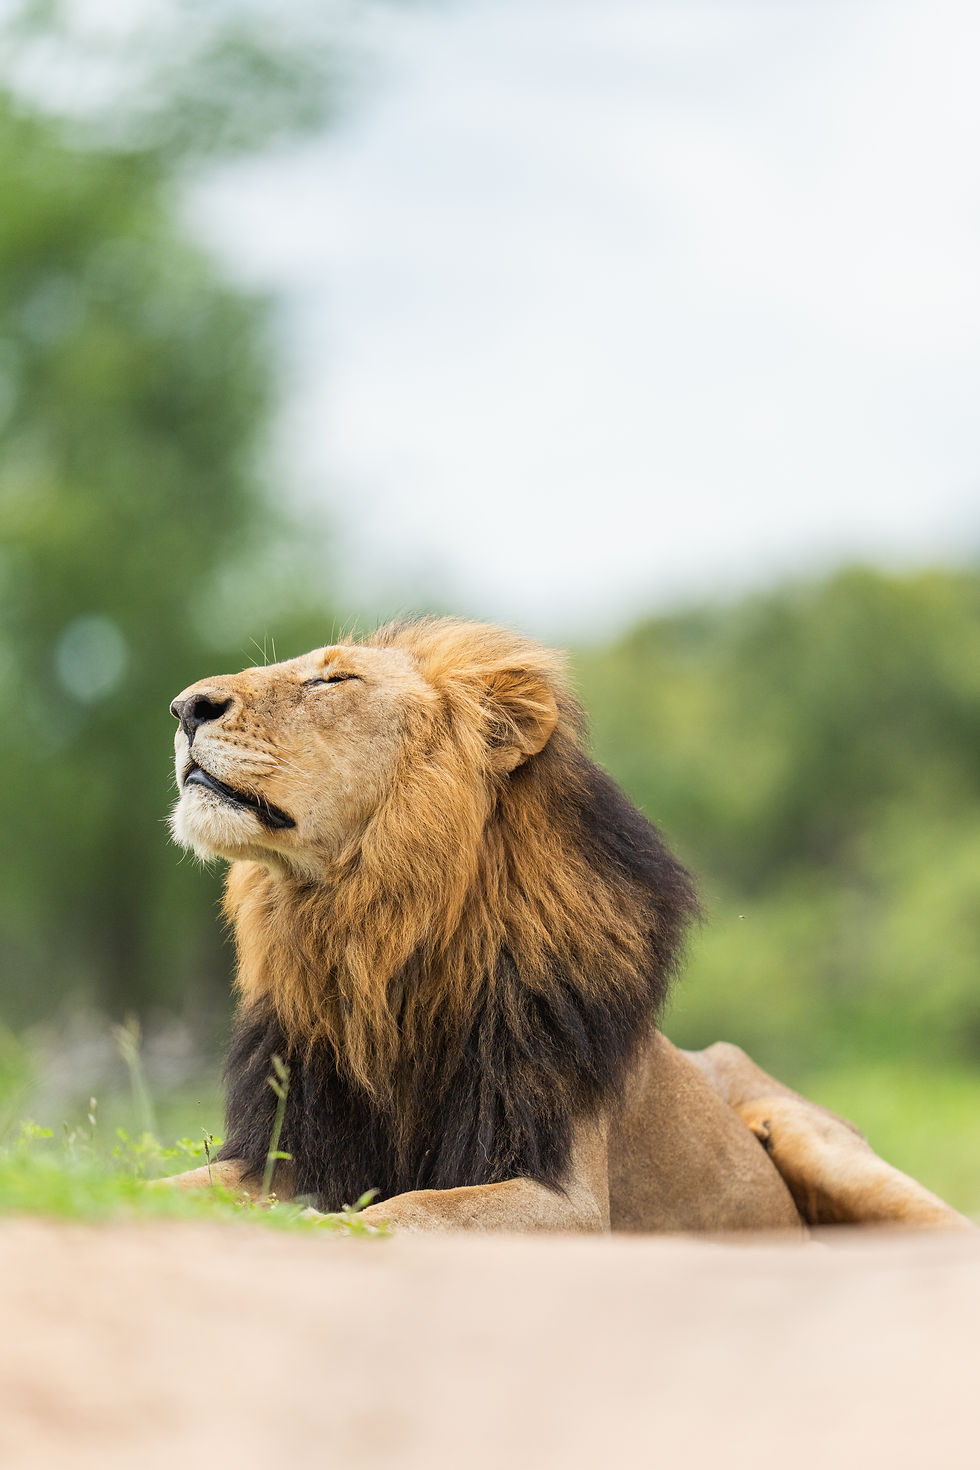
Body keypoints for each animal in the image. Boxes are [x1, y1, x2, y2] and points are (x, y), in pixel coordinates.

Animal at [164, 618, 969, 1233]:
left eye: (333, 682)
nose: (183, 707)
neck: (366, 932)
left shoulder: (566, 1197)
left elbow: (415, 1208)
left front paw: (324, 1226)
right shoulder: (289, 1145)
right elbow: (171, 1185)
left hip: (826, 1146)